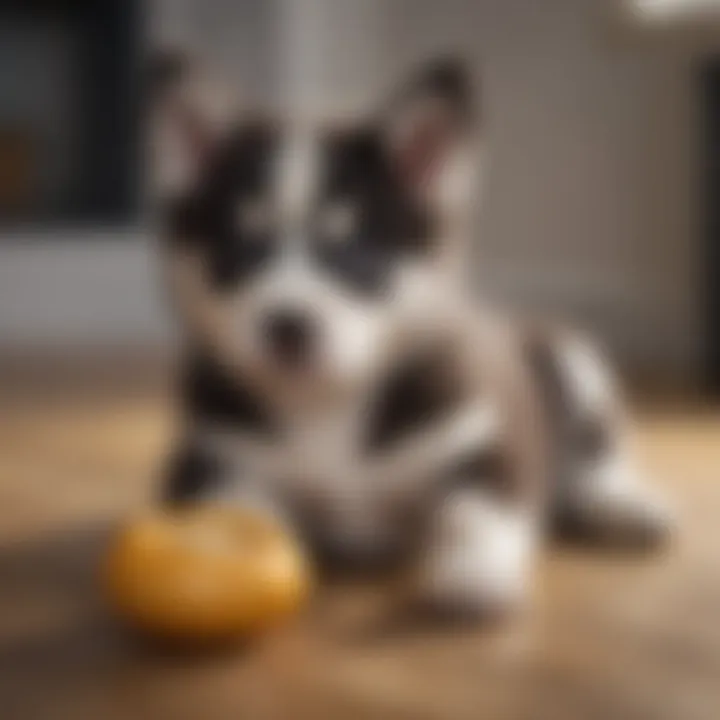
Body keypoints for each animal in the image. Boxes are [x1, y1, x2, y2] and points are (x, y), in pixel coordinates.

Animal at [149, 53, 672, 616]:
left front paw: (473, 569)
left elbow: (476, 508)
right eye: (241, 247)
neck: (327, 404)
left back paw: (622, 503)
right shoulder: (209, 457)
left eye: (355, 249)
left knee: (598, 456)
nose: (288, 325)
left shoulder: (490, 439)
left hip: (572, 358)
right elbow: (238, 512)